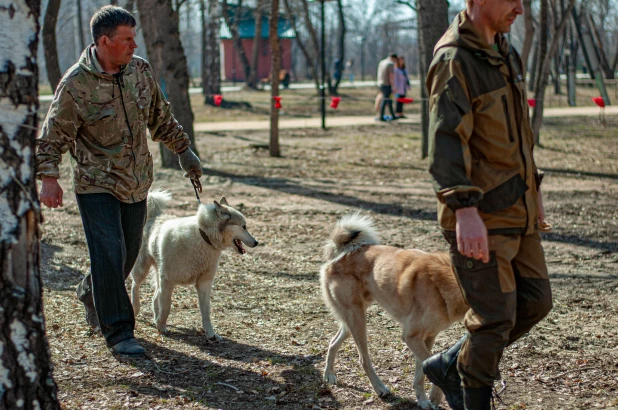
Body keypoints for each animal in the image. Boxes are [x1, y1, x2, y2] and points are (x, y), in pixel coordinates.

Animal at [131, 191, 256, 338]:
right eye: (244, 226)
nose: (256, 242)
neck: (204, 237)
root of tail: (154, 216)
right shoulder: (168, 281)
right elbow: (166, 307)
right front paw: (162, 327)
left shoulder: (204, 284)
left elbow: (206, 313)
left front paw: (211, 334)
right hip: (142, 269)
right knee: (136, 286)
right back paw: (136, 308)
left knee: (155, 296)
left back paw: (156, 318)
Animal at [318, 215, 466, 410]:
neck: (443, 281)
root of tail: (343, 253)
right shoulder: (411, 336)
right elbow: (430, 363)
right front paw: (436, 393)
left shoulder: (428, 337)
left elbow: (421, 371)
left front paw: (425, 399)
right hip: (358, 320)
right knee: (364, 359)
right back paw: (380, 388)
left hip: (351, 321)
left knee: (333, 342)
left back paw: (329, 374)